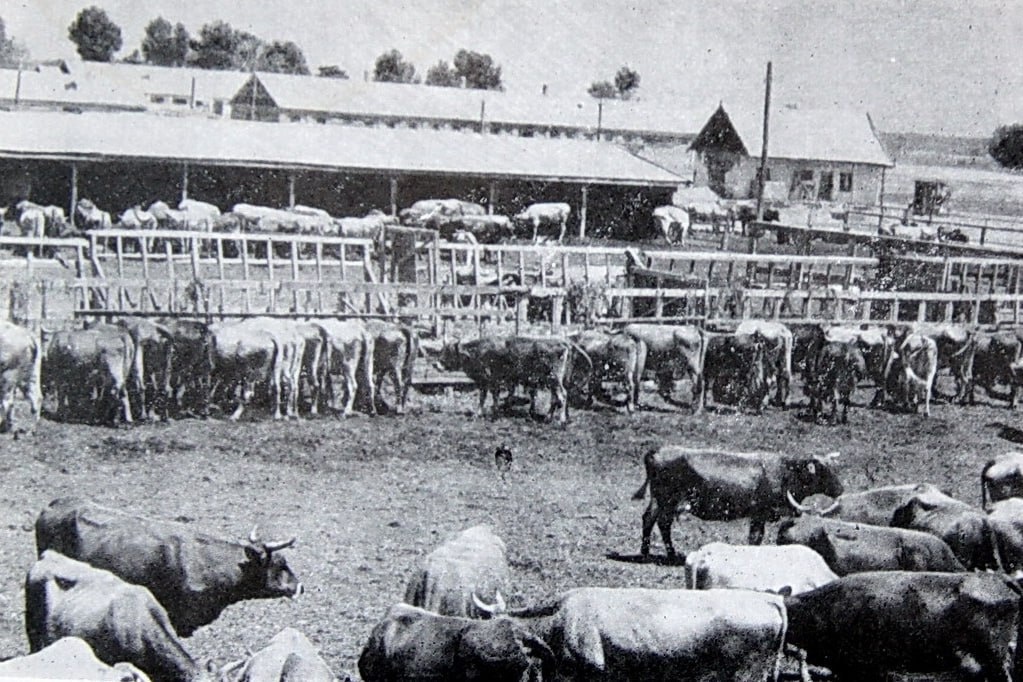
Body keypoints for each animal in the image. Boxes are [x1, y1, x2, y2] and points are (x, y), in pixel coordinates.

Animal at [633, 446, 843, 555]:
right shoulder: (759, 513)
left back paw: (646, 551)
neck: (785, 471)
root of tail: (658, 450)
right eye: (823, 470)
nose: (841, 488)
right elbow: (755, 537)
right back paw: (668, 553)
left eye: (835, 468)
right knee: (662, 523)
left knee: (649, 519)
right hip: (667, 500)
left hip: (658, 499)